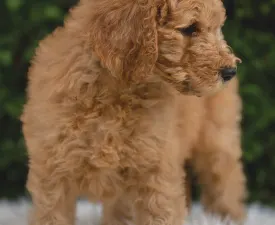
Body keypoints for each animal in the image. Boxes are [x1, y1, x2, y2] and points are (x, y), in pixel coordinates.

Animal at [20, 0, 247, 225]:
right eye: (190, 28)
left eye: (216, 28)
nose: (230, 71)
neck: (113, 93)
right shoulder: (52, 171)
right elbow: (51, 214)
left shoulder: (156, 168)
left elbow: (162, 212)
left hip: (217, 134)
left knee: (225, 176)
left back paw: (227, 215)